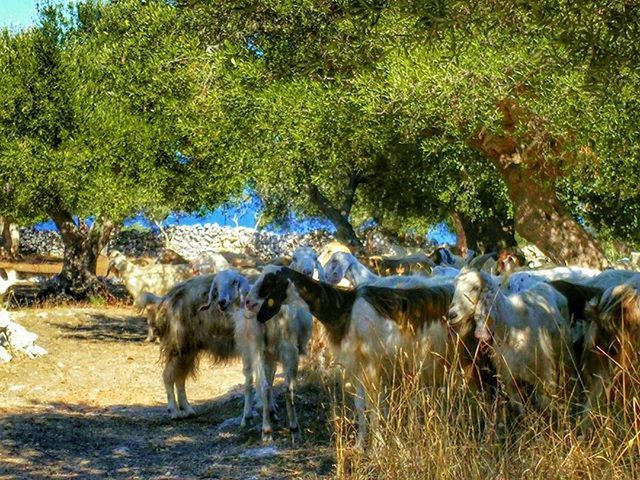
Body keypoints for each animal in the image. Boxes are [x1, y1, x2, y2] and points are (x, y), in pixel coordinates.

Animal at [245, 266, 456, 446]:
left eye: (269, 281)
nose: (247, 301)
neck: (344, 309)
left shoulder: (373, 363)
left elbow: (374, 404)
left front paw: (378, 445)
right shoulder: (357, 364)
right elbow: (360, 404)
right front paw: (361, 445)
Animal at [448, 264, 572, 418]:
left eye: (475, 287)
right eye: (455, 285)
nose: (451, 315)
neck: (511, 322)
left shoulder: (544, 374)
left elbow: (546, 407)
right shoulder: (509, 377)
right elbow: (519, 410)